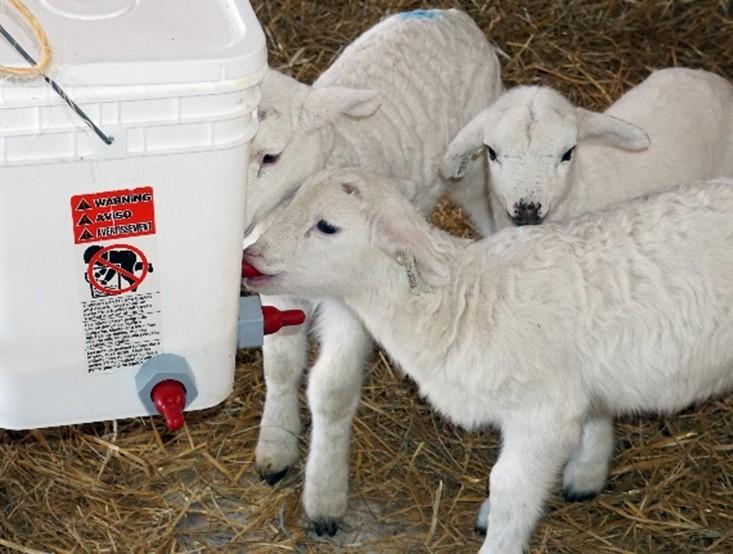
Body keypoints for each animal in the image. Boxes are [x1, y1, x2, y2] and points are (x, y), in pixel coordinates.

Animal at [243, 167, 732, 552]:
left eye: (327, 226)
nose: (249, 257)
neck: (465, 301)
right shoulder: (582, 385)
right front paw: (581, 476)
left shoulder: (543, 415)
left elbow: (510, 489)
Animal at [246, 7, 504, 532]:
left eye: (270, 156)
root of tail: (450, 14)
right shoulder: (274, 287)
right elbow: (279, 364)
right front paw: (276, 446)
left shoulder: (351, 303)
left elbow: (331, 391)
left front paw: (324, 495)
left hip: (471, 167)